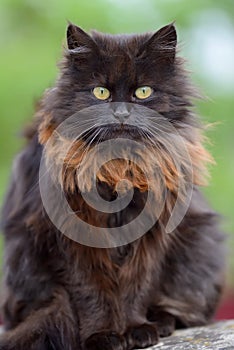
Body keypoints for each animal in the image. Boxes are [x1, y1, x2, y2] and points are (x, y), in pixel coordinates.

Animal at [0, 23, 226, 348]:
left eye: (143, 92)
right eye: (101, 92)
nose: (121, 113)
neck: (118, 168)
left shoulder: (152, 235)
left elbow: (136, 288)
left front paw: (136, 329)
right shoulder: (72, 239)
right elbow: (92, 292)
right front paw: (103, 335)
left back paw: (162, 322)